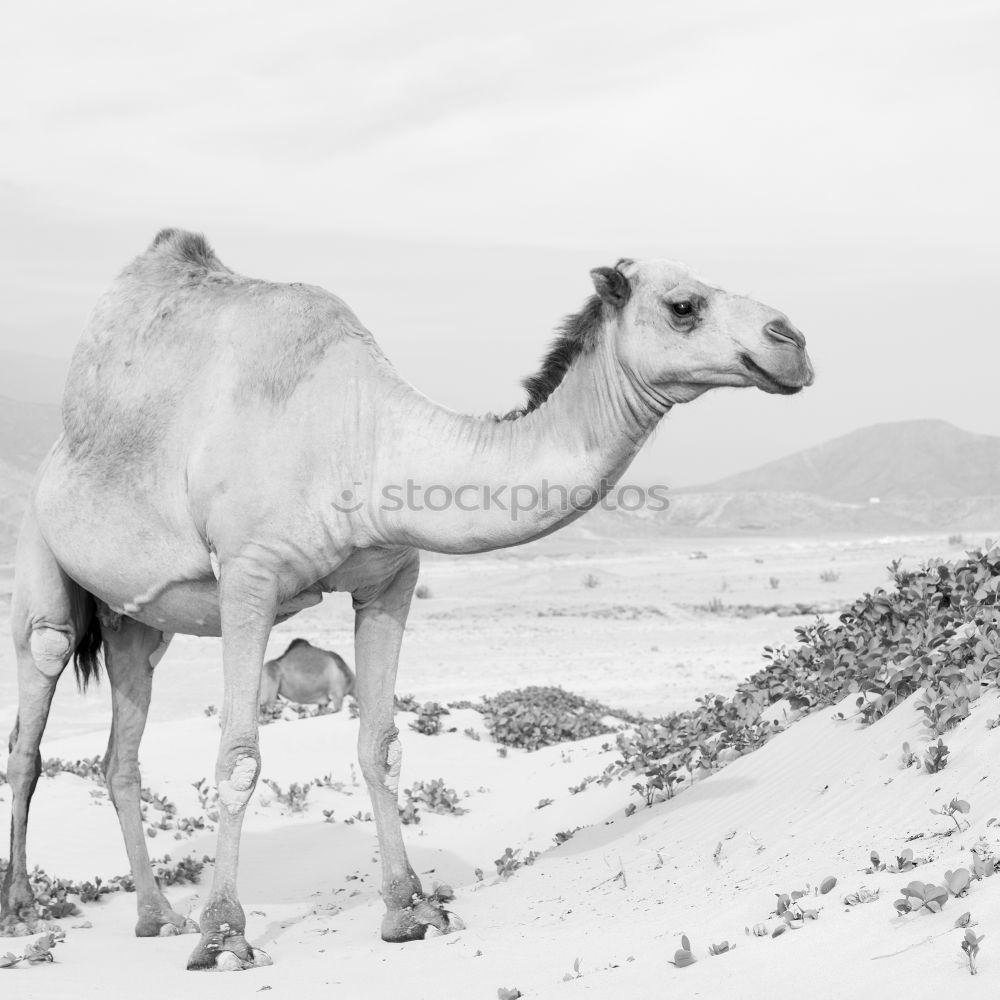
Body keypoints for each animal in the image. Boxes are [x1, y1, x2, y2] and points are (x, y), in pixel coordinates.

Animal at [0, 229, 812, 968]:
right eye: (684, 305)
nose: (794, 341)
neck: (367, 441)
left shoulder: (390, 578)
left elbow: (381, 746)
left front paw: (409, 912)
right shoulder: (249, 575)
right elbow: (239, 758)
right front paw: (225, 937)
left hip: (135, 620)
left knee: (121, 751)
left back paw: (155, 915)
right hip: (41, 555)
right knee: (31, 724)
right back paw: (26, 912)